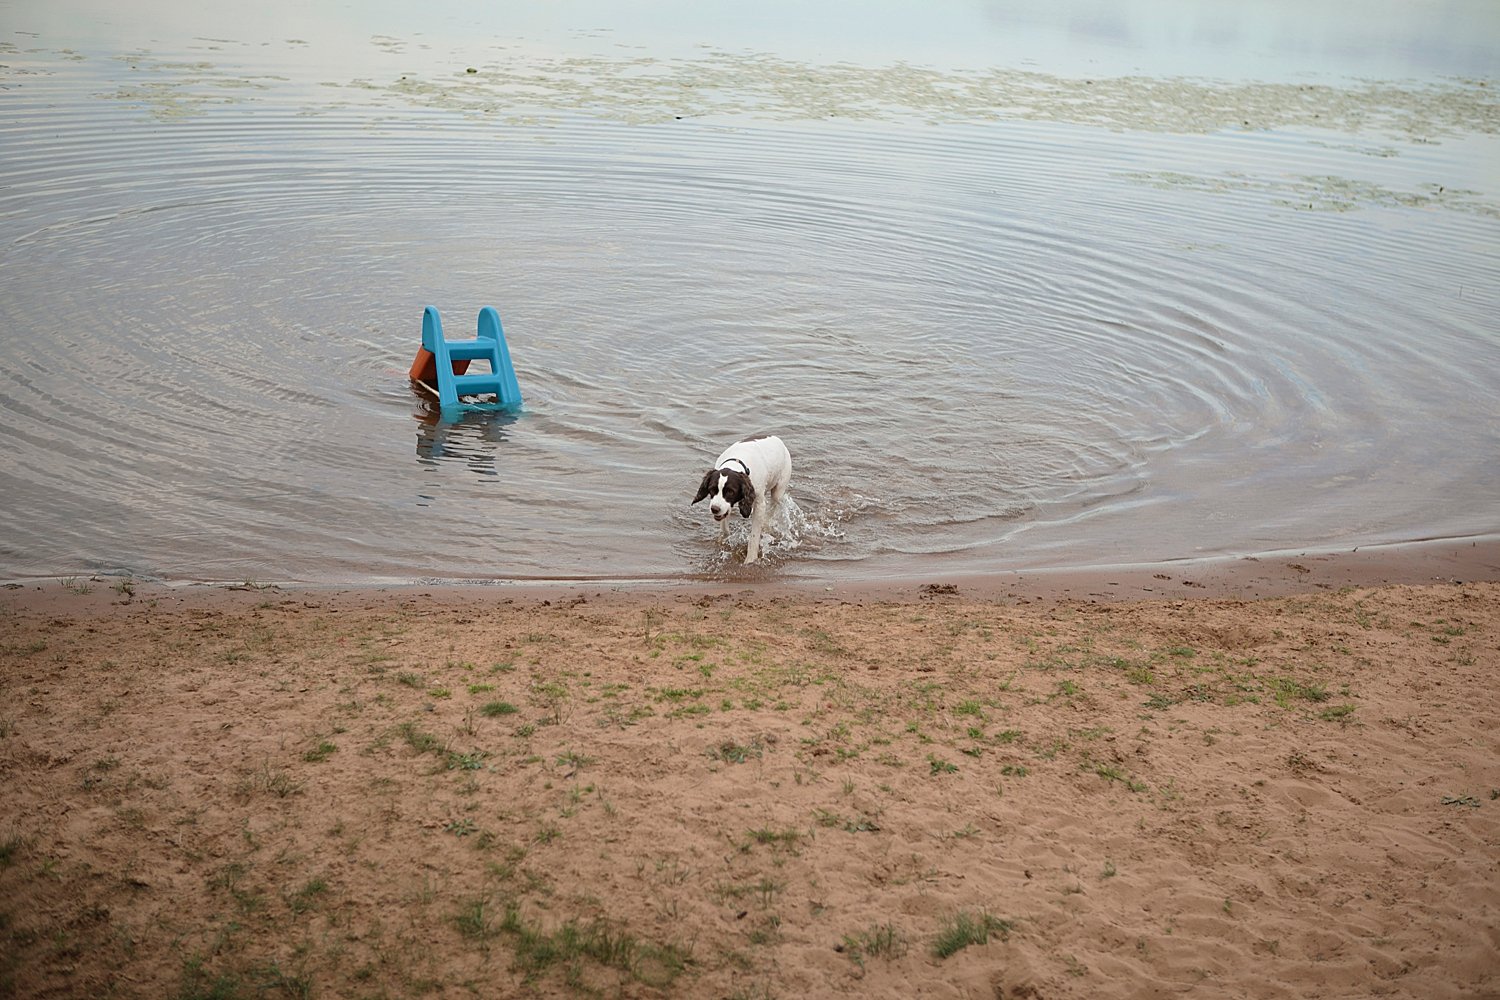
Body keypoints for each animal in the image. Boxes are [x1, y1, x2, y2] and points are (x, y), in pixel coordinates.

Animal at [690, 434, 792, 566]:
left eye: (730, 492)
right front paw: (723, 542)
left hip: (778, 490)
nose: (714, 509)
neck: (737, 463)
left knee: (773, 505)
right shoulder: (725, 508)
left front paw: (750, 559)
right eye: (712, 489)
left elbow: (754, 537)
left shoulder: (759, 504)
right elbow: (724, 528)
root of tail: (777, 438)